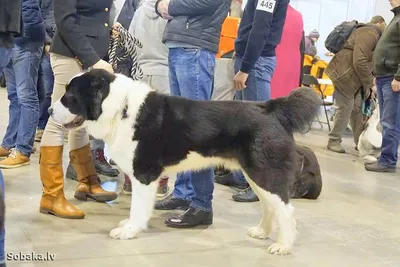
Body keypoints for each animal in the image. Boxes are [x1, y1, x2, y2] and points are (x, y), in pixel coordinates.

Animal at [49, 70, 318, 256]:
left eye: (70, 94)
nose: (50, 111)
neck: (119, 108)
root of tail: (272, 109)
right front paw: (130, 226)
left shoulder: (143, 174)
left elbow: (138, 207)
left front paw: (130, 230)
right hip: (255, 174)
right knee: (269, 206)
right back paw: (262, 232)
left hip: (265, 173)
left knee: (286, 210)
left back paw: (283, 245)